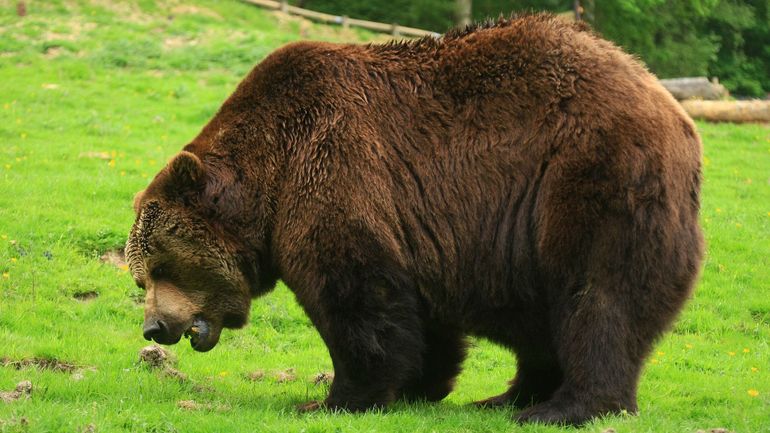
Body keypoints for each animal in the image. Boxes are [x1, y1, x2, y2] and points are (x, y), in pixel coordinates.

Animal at [124, 14, 704, 426]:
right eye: (139, 276)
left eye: (160, 265)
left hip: (588, 179)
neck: (266, 178)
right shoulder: (415, 228)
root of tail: (672, 109)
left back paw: (564, 406)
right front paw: (419, 384)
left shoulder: (331, 169)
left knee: (597, 295)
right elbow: (420, 316)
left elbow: (356, 295)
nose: (155, 327)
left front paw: (334, 398)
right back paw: (506, 397)